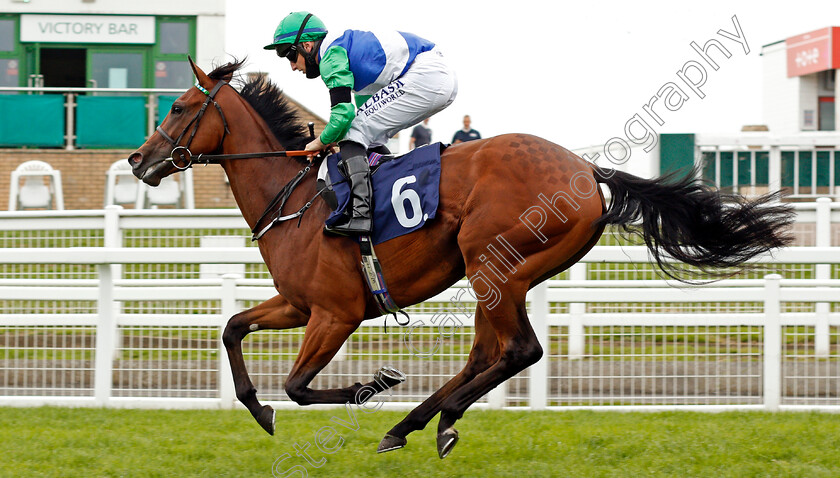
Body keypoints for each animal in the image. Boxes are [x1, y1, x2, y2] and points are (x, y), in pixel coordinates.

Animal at [130, 59, 796, 460]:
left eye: (180, 107)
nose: (138, 160)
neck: (296, 201)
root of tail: (587, 171)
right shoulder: (298, 304)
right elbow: (232, 328)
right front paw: (259, 410)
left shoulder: (336, 313)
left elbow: (298, 385)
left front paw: (369, 386)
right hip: (503, 273)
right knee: (488, 353)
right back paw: (412, 425)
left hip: (492, 262)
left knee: (519, 350)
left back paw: (434, 416)